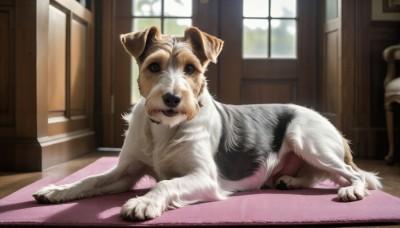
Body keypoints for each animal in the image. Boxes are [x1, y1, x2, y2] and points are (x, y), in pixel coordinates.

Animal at [32, 26, 382, 221]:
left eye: (191, 68)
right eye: (154, 66)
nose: (172, 98)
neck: (165, 128)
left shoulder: (204, 177)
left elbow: (164, 184)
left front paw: (143, 203)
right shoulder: (125, 172)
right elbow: (89, 180)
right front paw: (56, 189)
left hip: (305, 138)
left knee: (354, 174)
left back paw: (352, 190)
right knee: (312, 175)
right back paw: (289, 181)